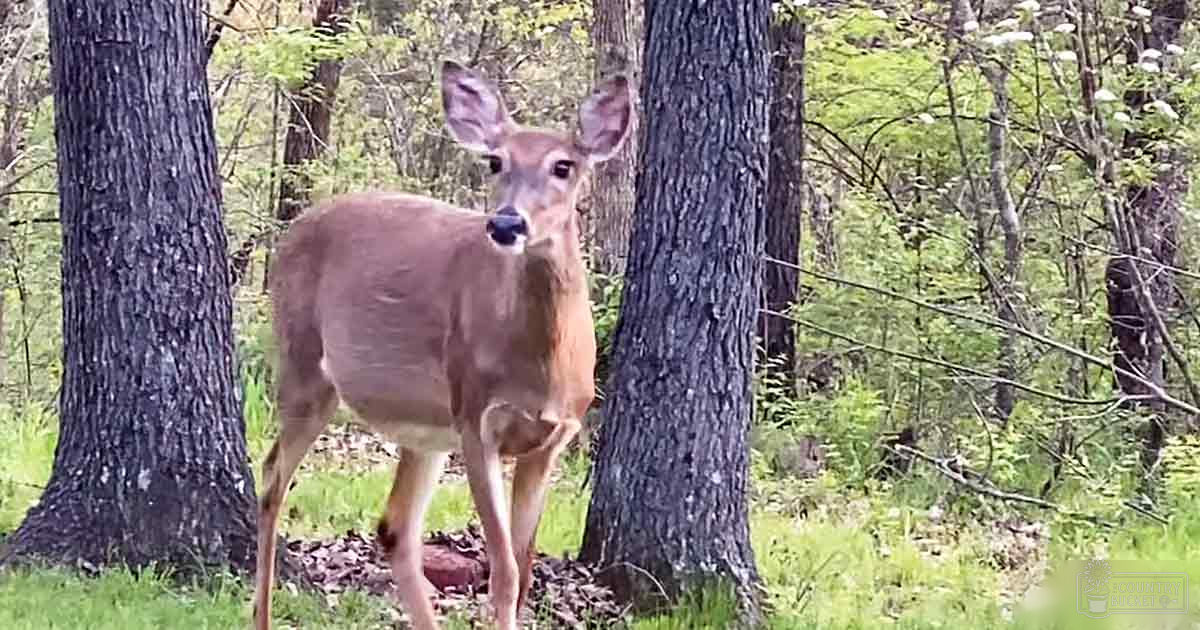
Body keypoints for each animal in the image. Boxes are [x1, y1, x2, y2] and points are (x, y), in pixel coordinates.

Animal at [251, 60, 633, 630]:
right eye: (496, 161)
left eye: (564, 166)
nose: (506, 222)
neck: (541, 366)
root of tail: (292, 230)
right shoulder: (476, 418)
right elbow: (504, 572)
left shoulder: (553, 439)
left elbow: (524, 570)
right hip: (305, 366)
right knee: (273, 476)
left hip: (424, 427)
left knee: (395, 527)